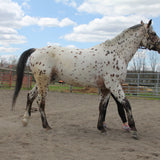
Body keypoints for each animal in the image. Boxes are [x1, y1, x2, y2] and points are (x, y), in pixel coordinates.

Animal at [12, 20, 160, 139]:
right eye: (153, 33)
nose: (159, 47)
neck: (117, 53)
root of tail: (36, 50)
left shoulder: (106, 87)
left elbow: (102, 107)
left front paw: (101, 128)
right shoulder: (113, 84)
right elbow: (126, 104)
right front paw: (134, 130)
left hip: (44, 81)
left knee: (30, 96)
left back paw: (25, 120)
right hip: (43, 81)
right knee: (40, 101)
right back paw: (46, 126)